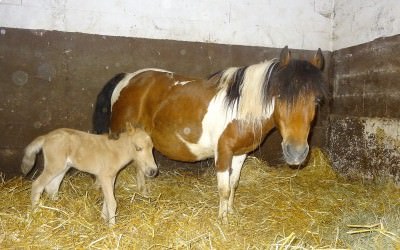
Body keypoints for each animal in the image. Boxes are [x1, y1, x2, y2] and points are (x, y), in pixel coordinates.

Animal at [21, 126, 157, 226]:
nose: (153, 171)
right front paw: (112, 227)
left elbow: (107, 199)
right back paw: (37, 212)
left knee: (52, 187)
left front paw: (104, 218)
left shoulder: (111, 177)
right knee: (37, 184)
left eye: (152, 148)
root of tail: (46, 137)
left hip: (63, 168)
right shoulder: (104, 177)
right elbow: (112, 202)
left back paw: (58, 209)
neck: (116, 151)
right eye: (138, 148)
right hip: (54, 166)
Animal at [92, 46, 326, 222]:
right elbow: (223, 189)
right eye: (279, 96)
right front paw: (222, 220)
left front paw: (230, 212)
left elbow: (233, 185)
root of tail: (127, 78)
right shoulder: (222, 153)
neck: (240, 108)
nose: (296, 153)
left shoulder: (240, 154)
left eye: (317, 100)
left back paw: (143, 193)